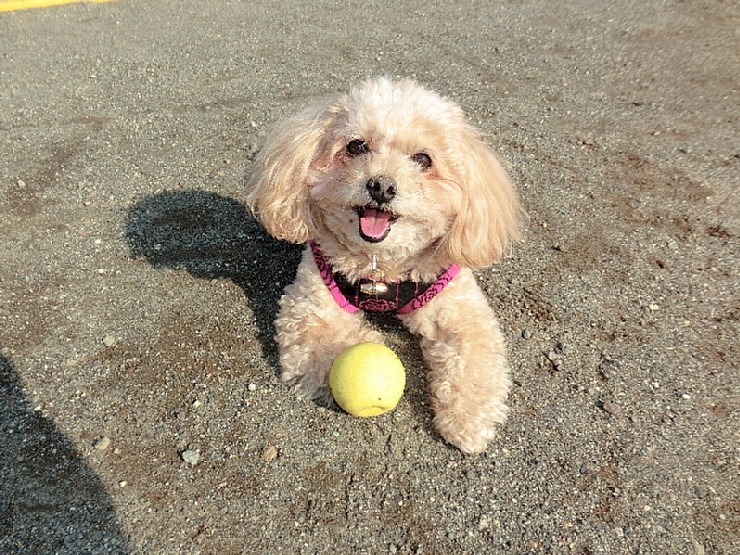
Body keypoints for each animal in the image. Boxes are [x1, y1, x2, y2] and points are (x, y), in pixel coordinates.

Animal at [246, 77, 522, 453]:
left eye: (423, 159)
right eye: (356, 146)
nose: (381, 185)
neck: (381, 267)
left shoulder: (458, 305)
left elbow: (474, 355)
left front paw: (469, 421)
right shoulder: (310, 306)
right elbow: (333, 341)